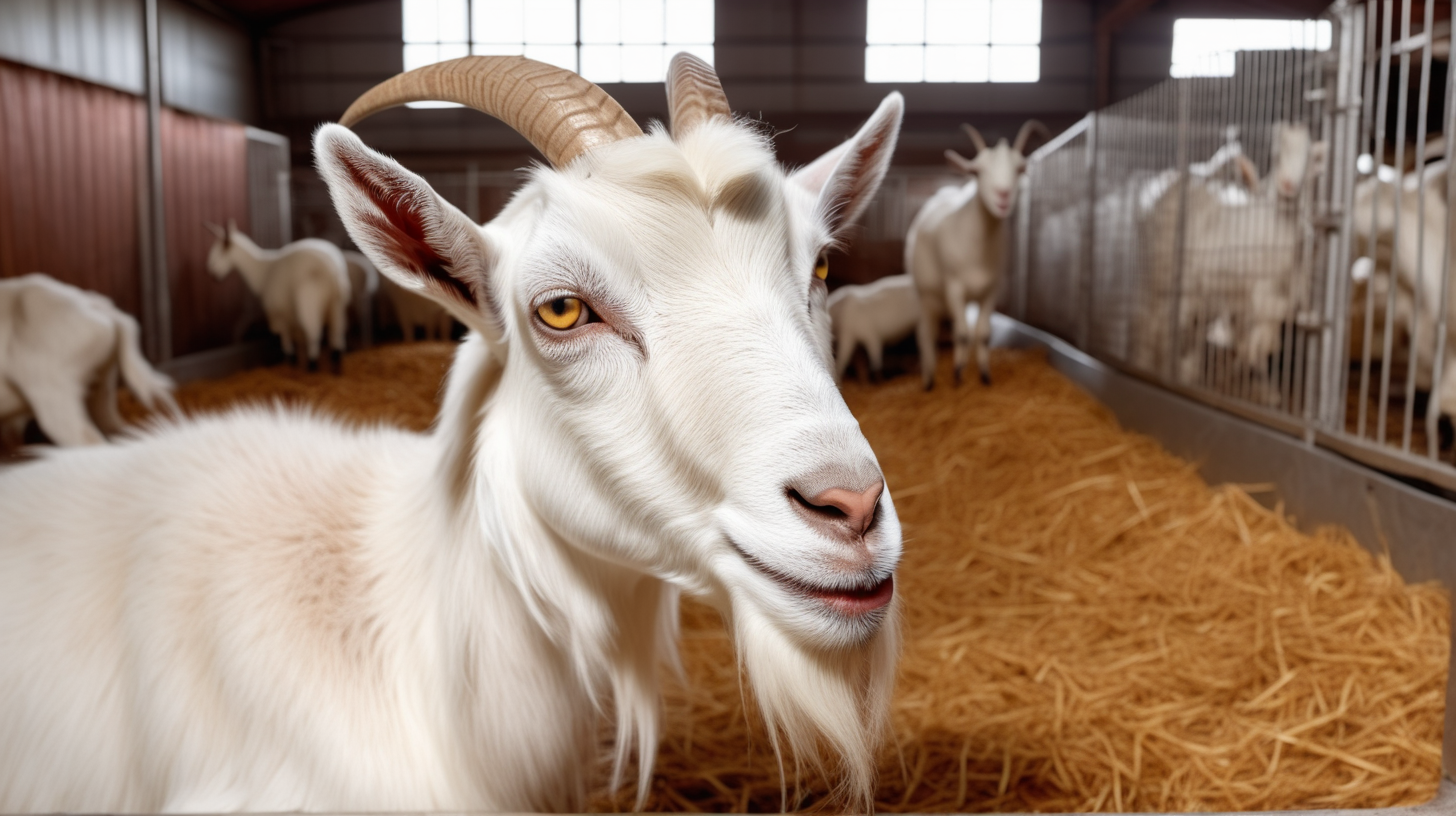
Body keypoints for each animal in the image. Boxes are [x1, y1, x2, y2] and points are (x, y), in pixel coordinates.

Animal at [208, 217, 352, 370]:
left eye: (220, 251)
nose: (212, 275)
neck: (262, 270)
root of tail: (331, 268)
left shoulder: (279, 315)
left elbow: (286, 342)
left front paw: (292, 362)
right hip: (337, 303)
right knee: (337, 332)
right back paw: (336, 364)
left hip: (308, 302)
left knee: (314, 332)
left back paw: (312, 365)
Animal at [902, 120, 1042, 387]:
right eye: (977, 171)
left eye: (1019, 169)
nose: (1003, 194)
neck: (979, 251)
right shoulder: (953, 286)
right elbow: (962, 334)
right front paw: (957, 376)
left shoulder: (992, 290)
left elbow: (982, 334)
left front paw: (984, 375)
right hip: (925, 294)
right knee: (925, 333)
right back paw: (929, 378)